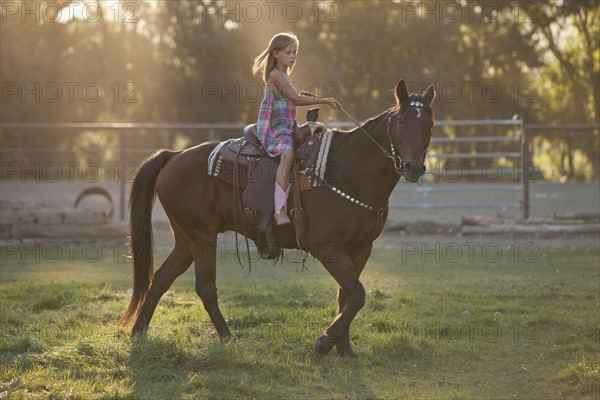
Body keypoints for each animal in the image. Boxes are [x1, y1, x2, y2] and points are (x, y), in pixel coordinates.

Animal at [119, 79, 436, 358]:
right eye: (401, 121)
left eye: (430, 124)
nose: (414, 168)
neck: (349, 171)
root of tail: (173, 156)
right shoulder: (327, 248)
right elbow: (357, 294)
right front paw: (324, 343)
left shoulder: (360, 249)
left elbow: (345, 297)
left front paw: (344, 349)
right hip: (201, 237)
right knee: (205, 288)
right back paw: (226, 337)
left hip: (186, 239)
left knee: (161, 279)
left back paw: (139, 333)